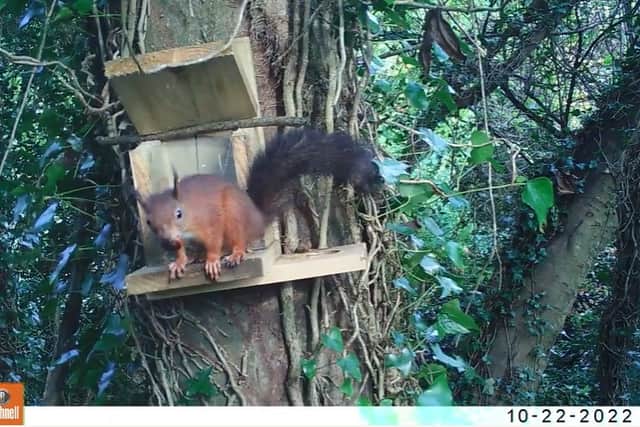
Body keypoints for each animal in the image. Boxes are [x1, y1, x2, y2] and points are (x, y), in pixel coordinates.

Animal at [134, 128, 382, 281]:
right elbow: (182, 250)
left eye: (178, 214)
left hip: (235, 215)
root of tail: (257, 218)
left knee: (238, 240)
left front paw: (212, 260)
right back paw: (199, 256)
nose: (167, 242)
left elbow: (213, 241)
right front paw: (179, 261)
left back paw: (232, 254)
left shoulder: (210, 221)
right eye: (149, 221)